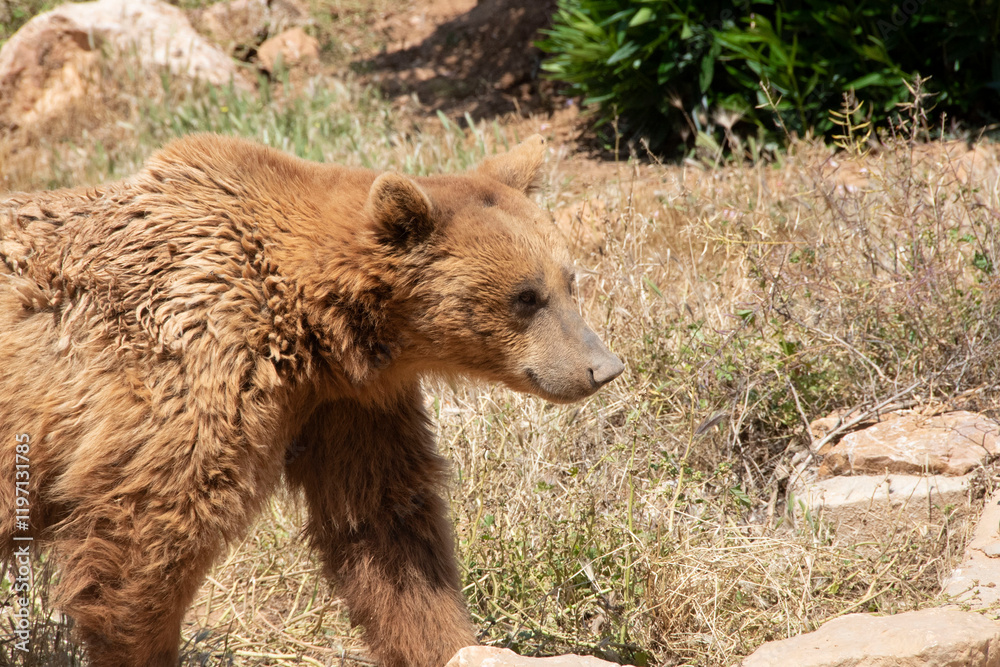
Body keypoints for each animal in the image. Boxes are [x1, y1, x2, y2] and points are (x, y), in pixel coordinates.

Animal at [0, 133, 624, 667]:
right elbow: (145, 534)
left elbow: (387, 527)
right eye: (526, 296)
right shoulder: (193, 365)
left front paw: (447, 641)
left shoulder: (349, 406)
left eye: (569, 280)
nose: (603, 367)